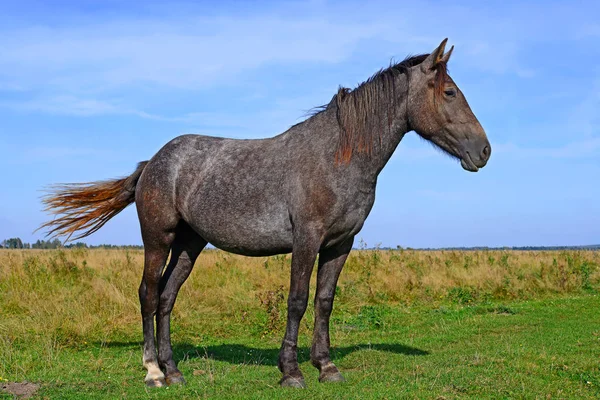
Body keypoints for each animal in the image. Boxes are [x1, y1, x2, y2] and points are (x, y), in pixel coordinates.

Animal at [43, 39, 492, 390]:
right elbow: (297, 300)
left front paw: (326, 366)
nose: (484, 151)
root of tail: (153, 162)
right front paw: (291, 371)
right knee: (149, 295)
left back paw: (174, 372)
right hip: (159, 239)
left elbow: (324, 301)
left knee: (168, 297)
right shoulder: (307, 239)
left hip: (190, 244)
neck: (338, 156)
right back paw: (153, 372)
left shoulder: (340, 244)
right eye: (449, 92)